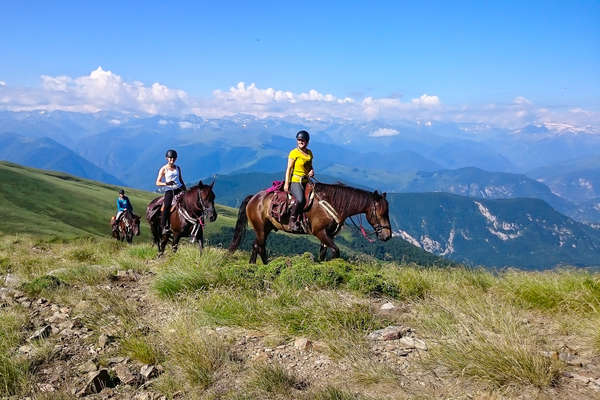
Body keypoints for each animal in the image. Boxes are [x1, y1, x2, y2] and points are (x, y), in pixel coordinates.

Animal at [230, 183, 394, 264]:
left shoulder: (328, 235)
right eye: (380, 213)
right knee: (260, 246)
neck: (331, 203)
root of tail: (254, 198)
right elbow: (336, 251)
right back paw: (266, 265)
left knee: (256, 245)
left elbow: (323, 253)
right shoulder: (319, 232)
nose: (387, 235)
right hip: (261, 228)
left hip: (266, 228)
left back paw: (254, 265)